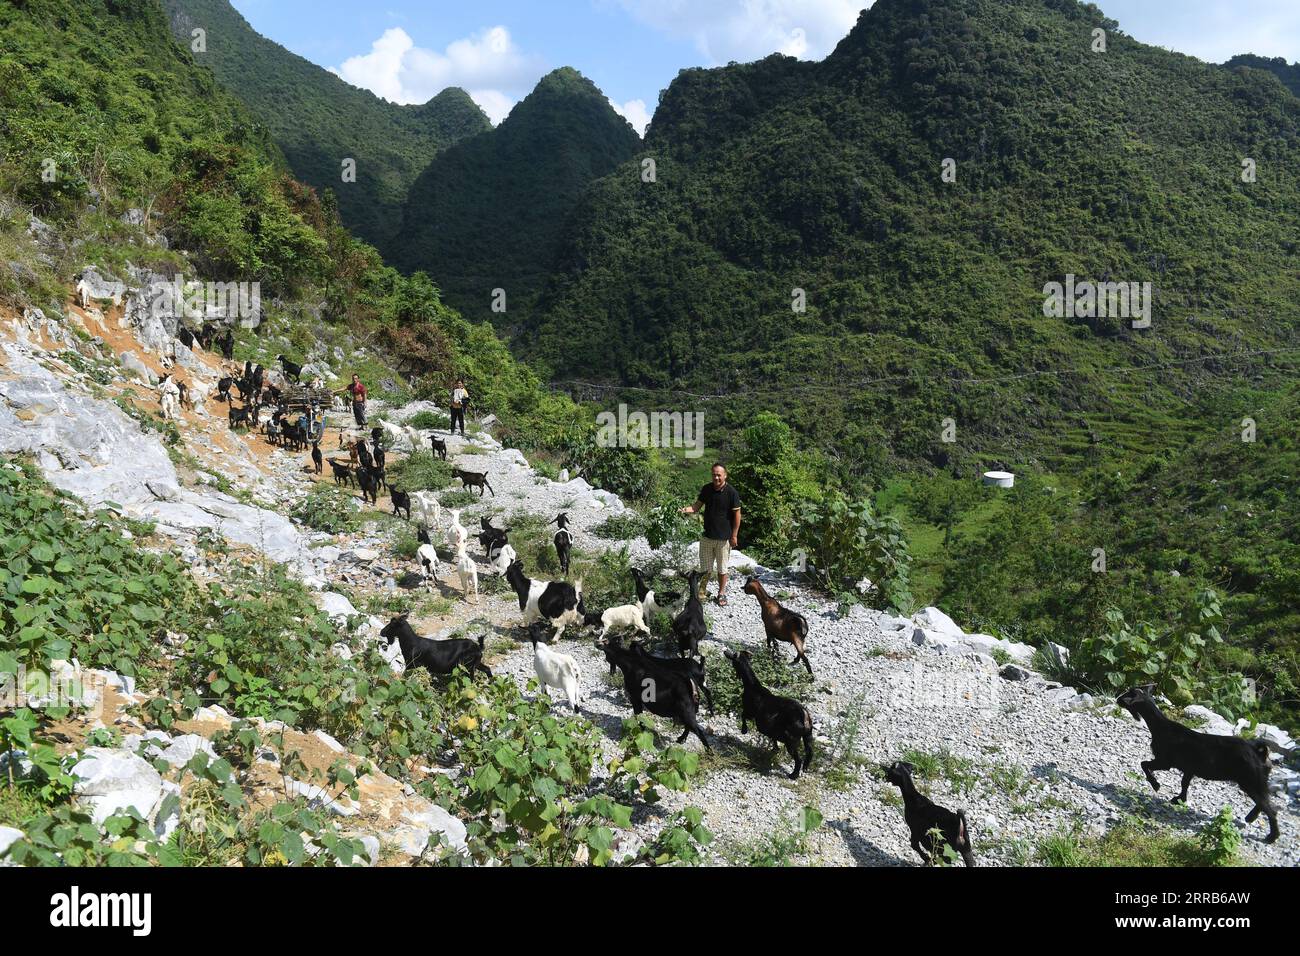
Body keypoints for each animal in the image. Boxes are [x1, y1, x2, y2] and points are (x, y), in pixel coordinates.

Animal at [723, 649, 813, 779]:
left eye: (733, 655)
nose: (725, 651)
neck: (753, 686)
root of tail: (803, 715)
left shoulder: (750, 710)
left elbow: (743, 716)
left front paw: (744, 730)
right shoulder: (771, 728)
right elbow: (772, 736)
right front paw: (775, 748)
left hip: (791, 739)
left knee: (798, 759)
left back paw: (793, 775)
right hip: (807, 735)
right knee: (810, 751)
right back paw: (805, 767)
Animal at [1117, 685, 1279, 843]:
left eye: (1128, 694)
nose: (1118, 699)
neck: (1161, 726)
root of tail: (1258, 752)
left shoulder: (1165, 762)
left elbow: (1144, 764)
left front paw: (1155, 784)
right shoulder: (1189, 769)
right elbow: (1184, 783)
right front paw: (1180, 799)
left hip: (1250, 781)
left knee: (1270, 809)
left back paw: (1272, 836)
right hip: (1256, 782)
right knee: (1264, 802)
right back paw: (1251, 818)